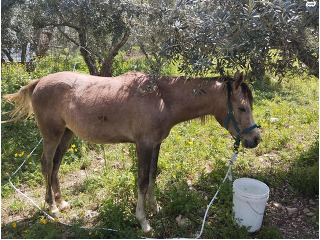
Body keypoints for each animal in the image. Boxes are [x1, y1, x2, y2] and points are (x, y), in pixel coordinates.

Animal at [3, 70, 260, 232]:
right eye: (242, 108)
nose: (255, 139)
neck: (162, 98)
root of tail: (39, 82)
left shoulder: (156, 144)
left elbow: (154, 175)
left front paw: (155, 207)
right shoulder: (143, 145)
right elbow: (143, 181)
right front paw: (143, 220)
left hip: (66, 135)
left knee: (55, 165)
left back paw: (62, 202)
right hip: (52, 135)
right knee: (47, 165)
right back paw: (53, 208)